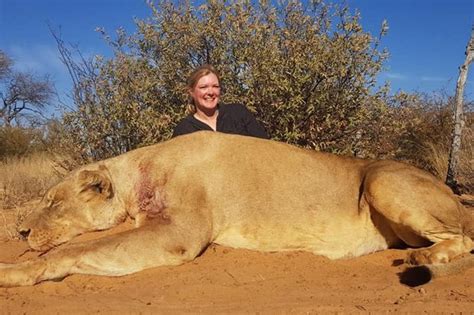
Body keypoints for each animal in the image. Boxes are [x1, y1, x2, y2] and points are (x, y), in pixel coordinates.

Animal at [0, 132, 474, 288]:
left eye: (53, 202)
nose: (20, 232)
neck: (137, 174)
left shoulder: (180, 235)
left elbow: (70, 251)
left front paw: (15, 271)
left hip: (382, 180)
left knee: (465, 237)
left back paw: (425, 258)